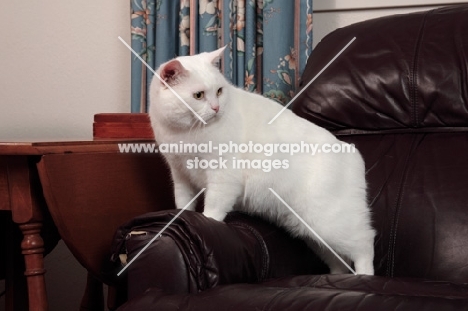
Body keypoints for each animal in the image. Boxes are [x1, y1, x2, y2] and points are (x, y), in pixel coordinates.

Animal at [148, 45, 374, 276]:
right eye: (199, 95)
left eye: (219, 91)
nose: (216, 108)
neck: (185, 134)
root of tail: (350, 150)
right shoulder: (180, 174)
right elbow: (183, 203)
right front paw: (182, 214)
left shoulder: (223, 176)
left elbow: (213, 208)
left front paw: (208, 222)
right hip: (312, 234)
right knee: (340, 262)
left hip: (329, 223)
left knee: (365, 243)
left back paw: (364, 275)